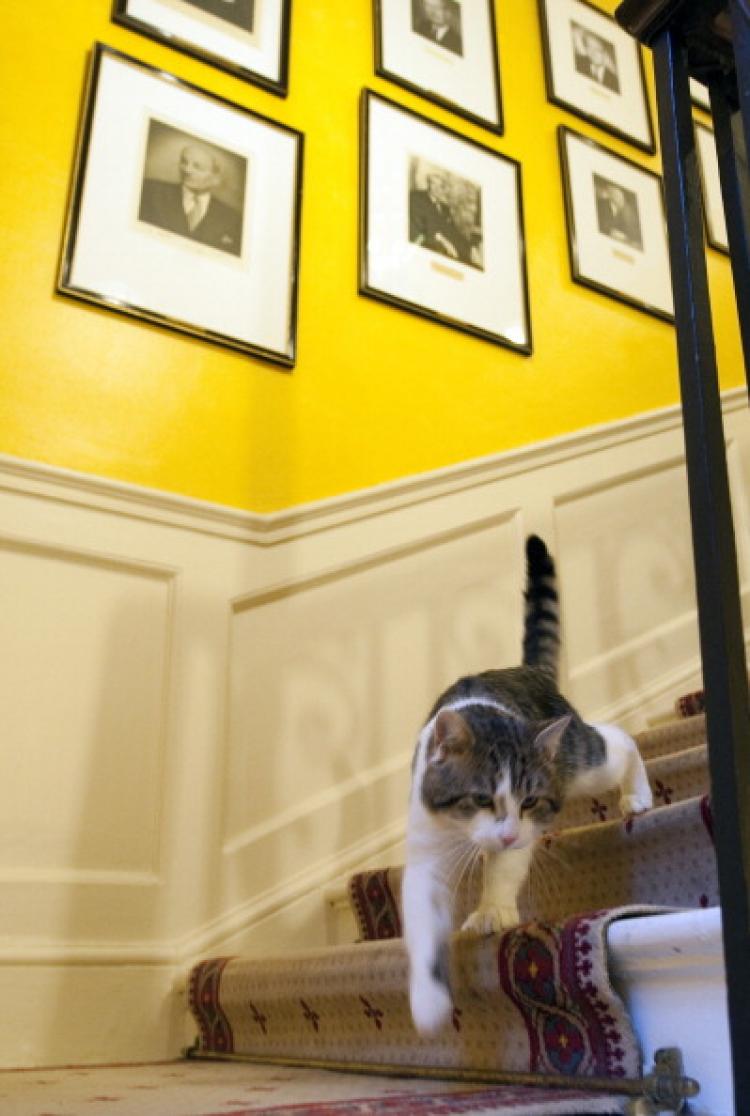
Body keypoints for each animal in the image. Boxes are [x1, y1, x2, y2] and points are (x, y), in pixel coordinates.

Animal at [401, 535, 651, 1031]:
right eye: (479, 798)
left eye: (530, 801)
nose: (507, 831)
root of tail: (526, 670)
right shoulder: (425, 847)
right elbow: (422, 921)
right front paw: (428, 1001)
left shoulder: (524, 831)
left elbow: (505, 867)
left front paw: (491, 910)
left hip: (580, 761)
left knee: (619, 741)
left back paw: (636, 795)